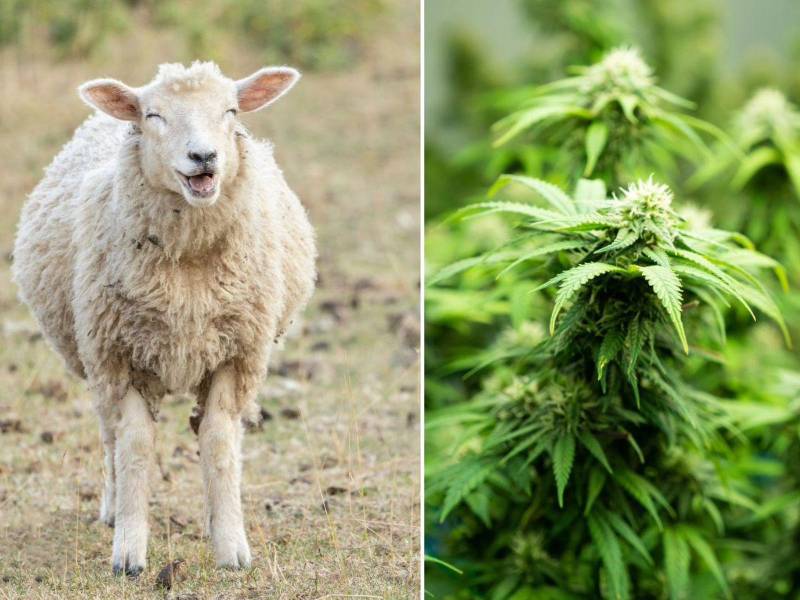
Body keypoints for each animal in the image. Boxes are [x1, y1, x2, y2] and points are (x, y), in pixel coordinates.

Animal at [12, 61, 317, 575]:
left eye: (231, 111)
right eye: (153, 115)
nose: (204, 156)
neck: (188, 268)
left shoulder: (236, 353)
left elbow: (218, 442)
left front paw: (231, 546)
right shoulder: (120, 354)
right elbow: (134, 444)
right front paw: (129, 553)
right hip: (93, 356)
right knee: (110, 435)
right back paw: (113, 509)